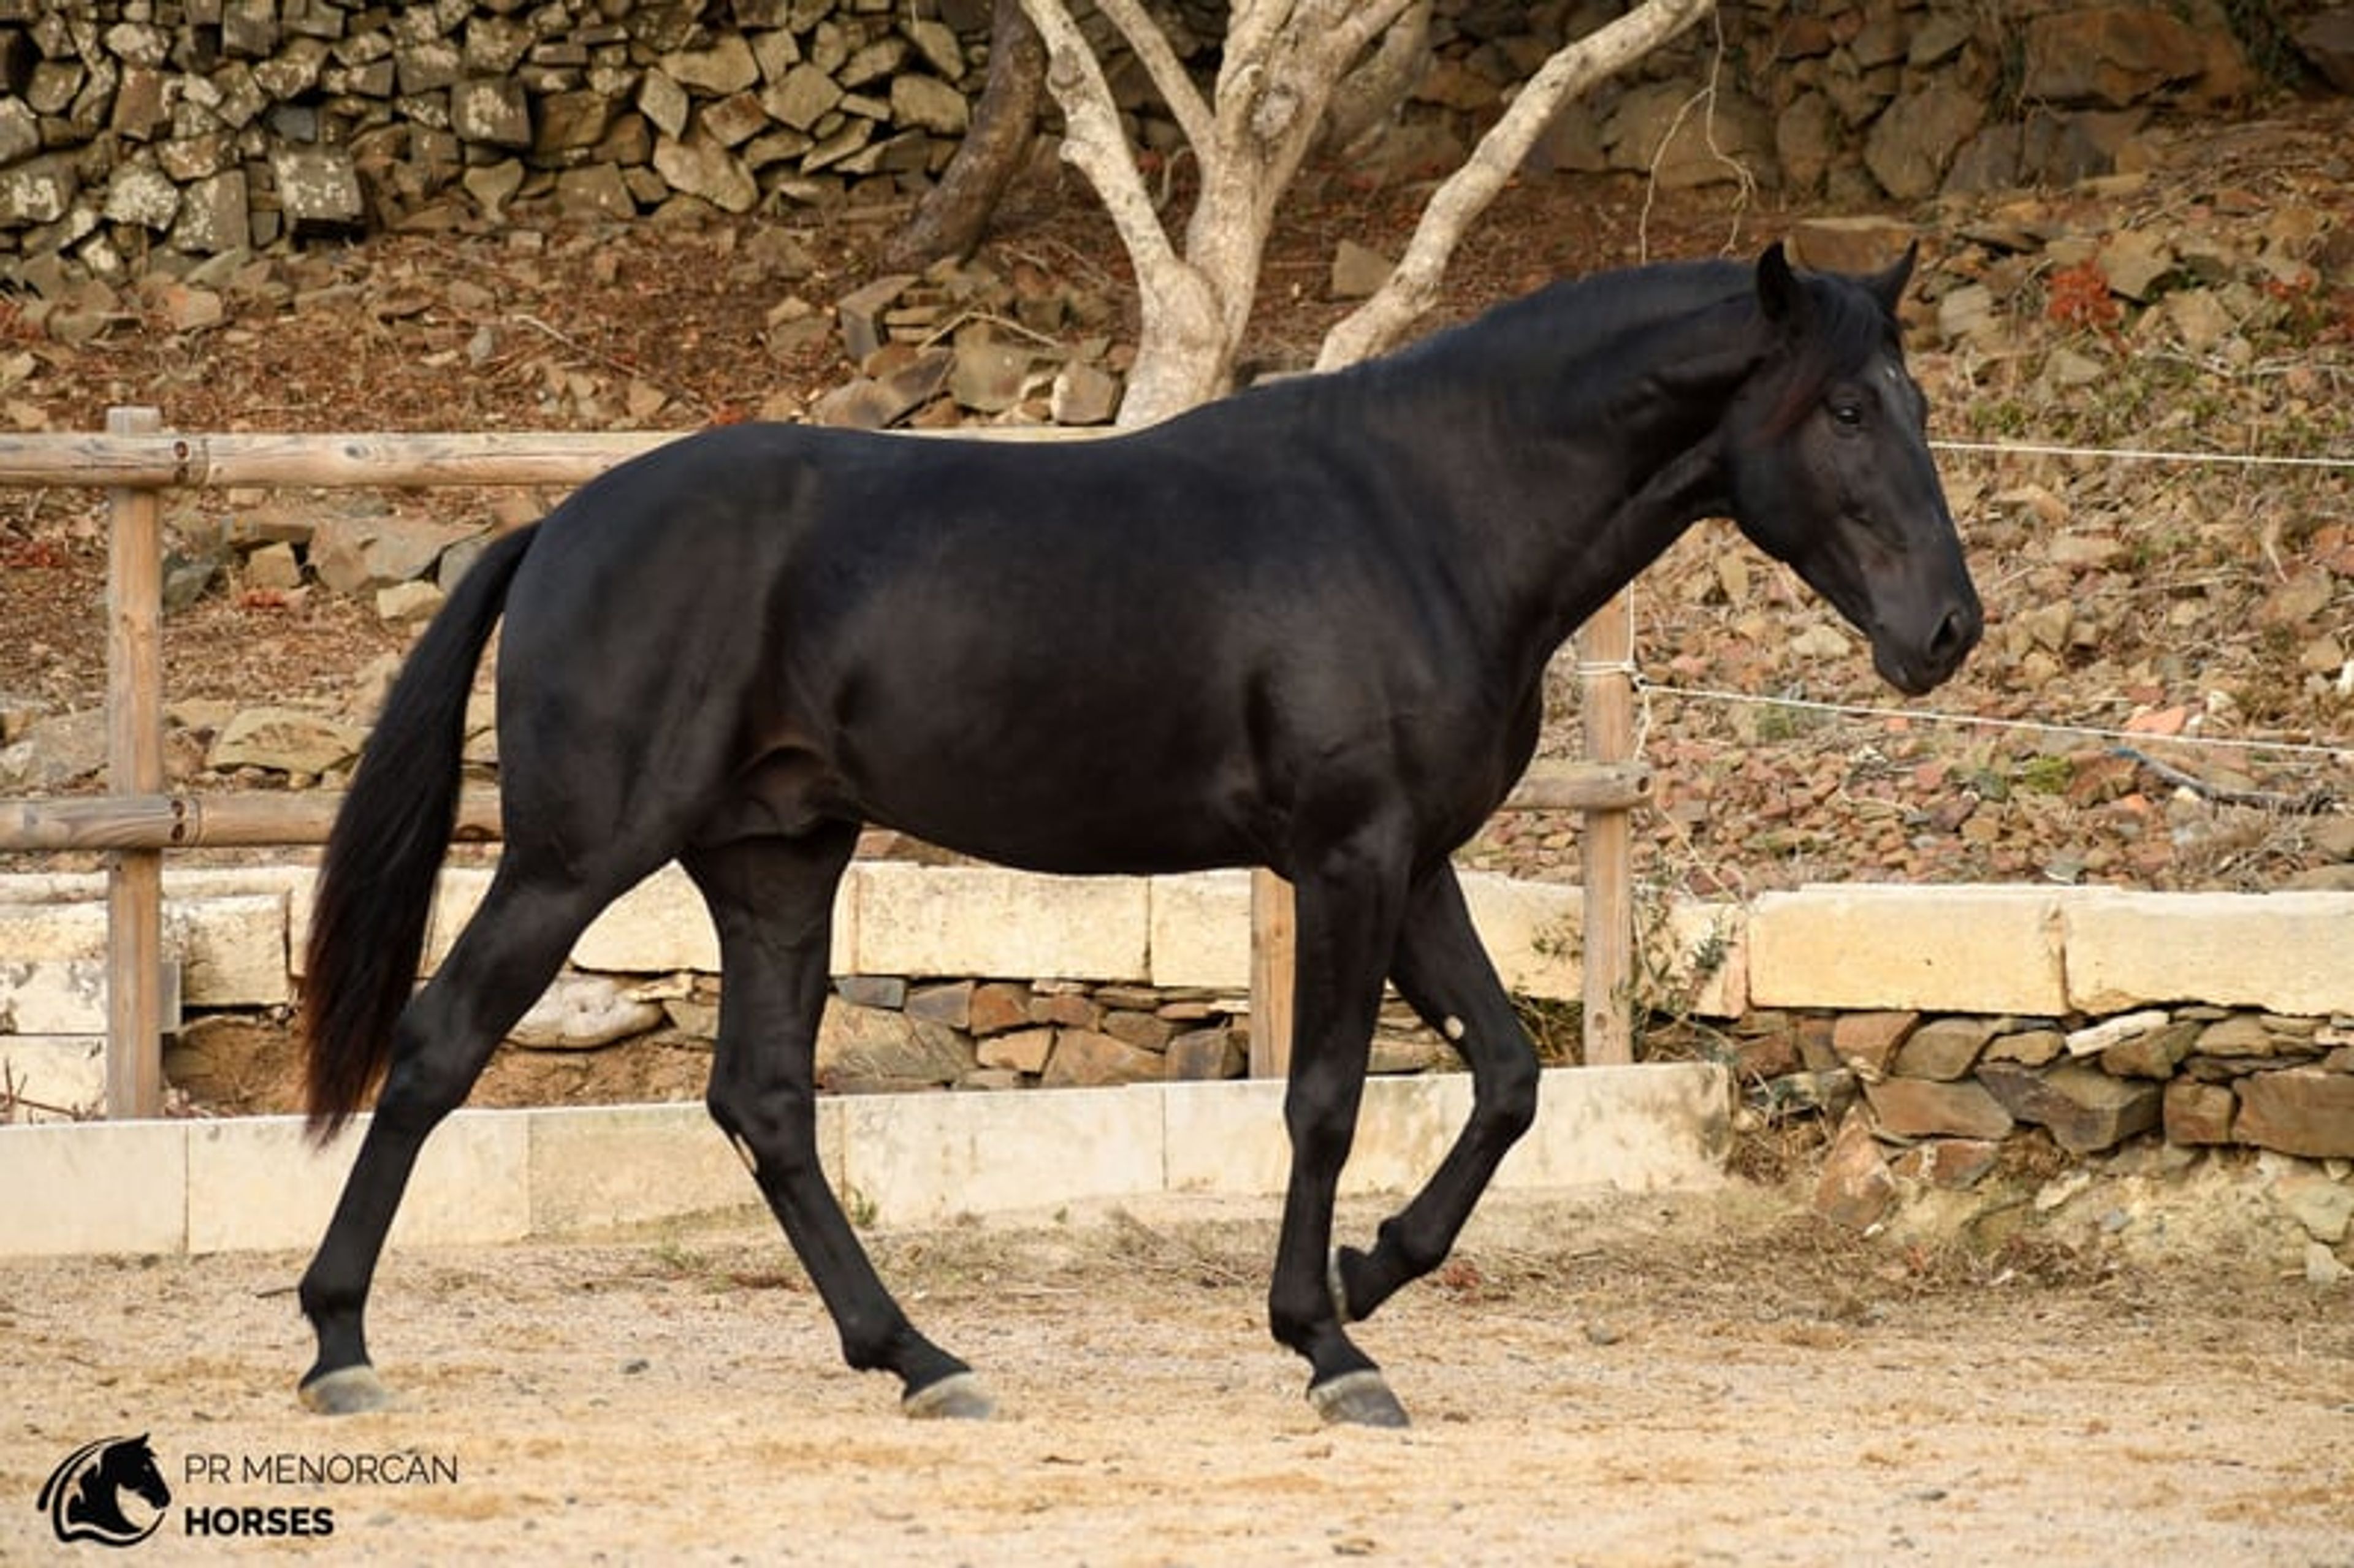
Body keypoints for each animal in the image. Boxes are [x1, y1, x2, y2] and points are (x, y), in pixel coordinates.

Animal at [294, 241, 1980, 1429]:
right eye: (1843, 408)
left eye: (1912, 404)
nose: (1947, 631)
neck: (1422, 515)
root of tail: (559, 525)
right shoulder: (1348, 857)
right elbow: (1324, 1100)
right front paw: (1328, 1340)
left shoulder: (1415, 858)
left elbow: (1506, 1078)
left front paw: (1371, 1269)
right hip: (577, 859)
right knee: (438, 1048)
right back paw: (337, 1341)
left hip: (776, 861)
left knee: (764, 1104)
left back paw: (919, 1356)